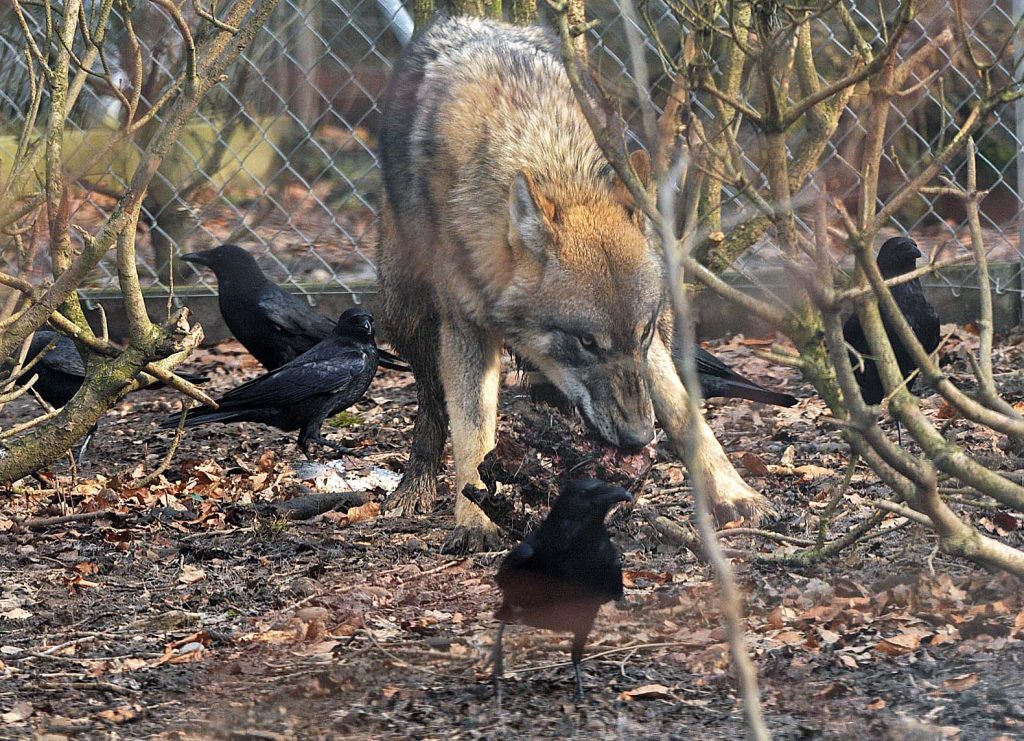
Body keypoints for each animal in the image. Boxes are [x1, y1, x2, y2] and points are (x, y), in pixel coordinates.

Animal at [376, 16, 765, 551]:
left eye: (640, 335)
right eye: (585, 342)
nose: (639, 437)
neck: (548, 155)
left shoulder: (651, 346)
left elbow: (686, 413)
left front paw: (733, 492)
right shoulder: (465, 331)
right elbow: (473, 432)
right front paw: (475, 520)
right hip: (406, 317)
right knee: (432, 407)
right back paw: (415, 487)